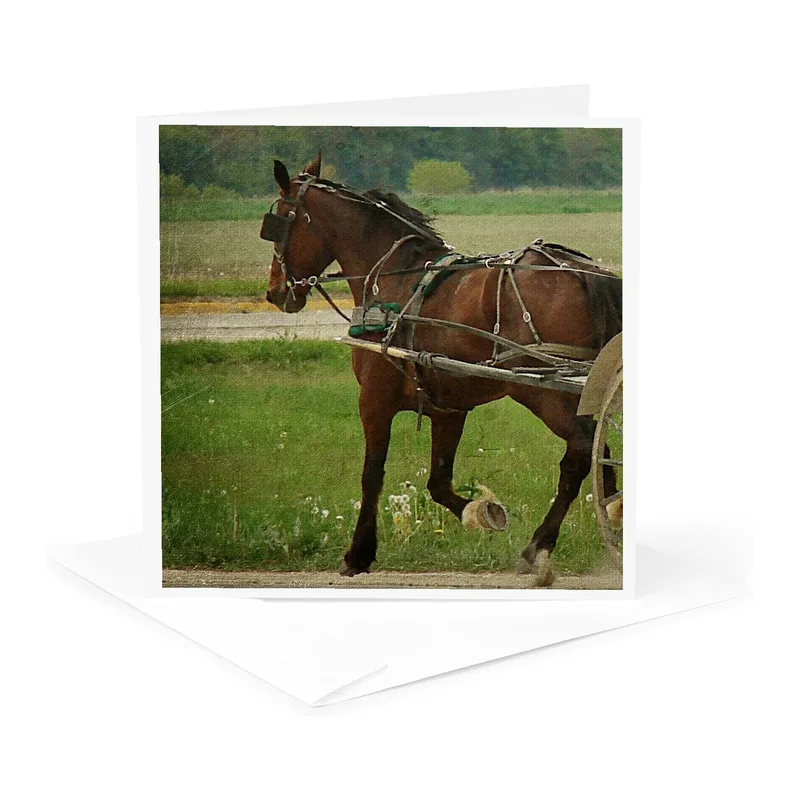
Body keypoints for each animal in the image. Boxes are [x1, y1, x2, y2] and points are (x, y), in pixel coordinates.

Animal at [263, 153, 622, 586]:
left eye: (280, 220)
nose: (275, 291)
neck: (395, 282)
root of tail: (584, 271)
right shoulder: (447, 408)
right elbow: (438, 482)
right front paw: (483, 511)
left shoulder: (374, 400)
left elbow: (372, 475)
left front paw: (359, 553)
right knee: (598, 453)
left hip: (541, 391)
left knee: (581, 454)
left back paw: (539, 547)